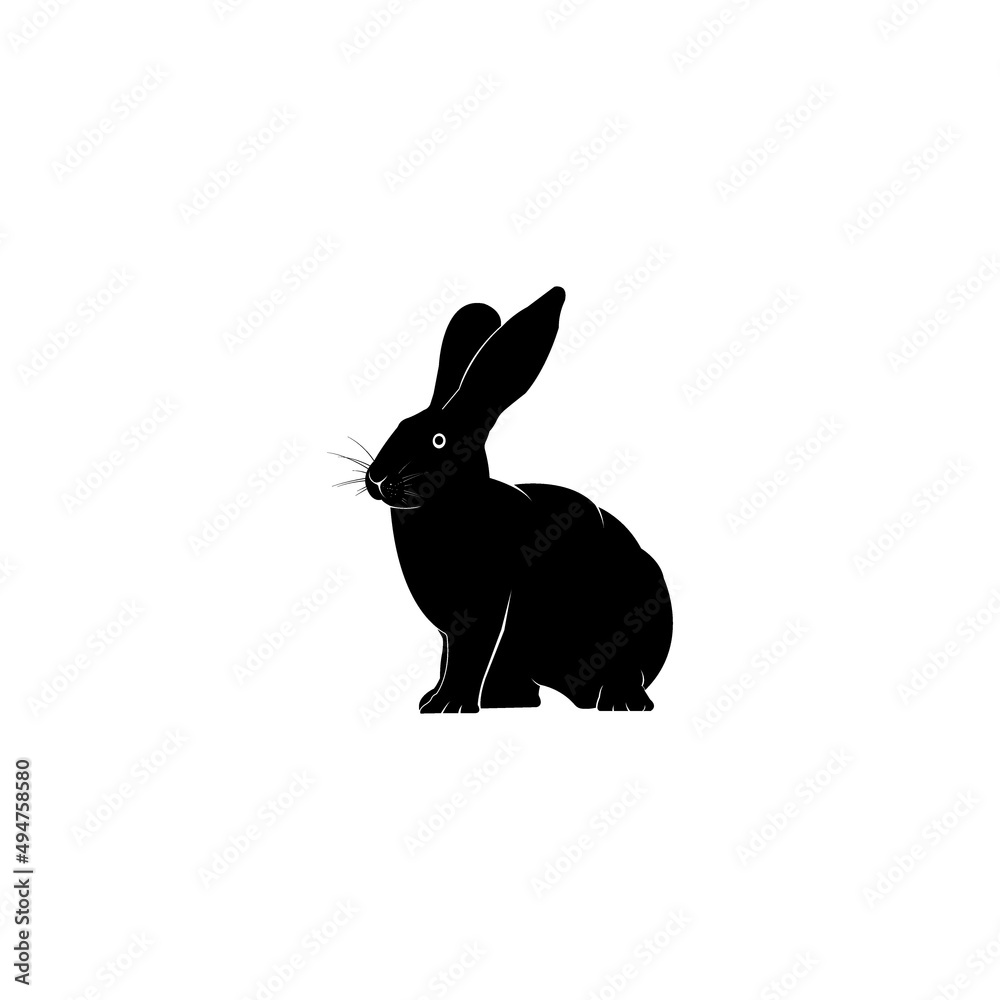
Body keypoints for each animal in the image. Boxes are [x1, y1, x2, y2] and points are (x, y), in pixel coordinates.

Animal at [350, 286, 671, 711]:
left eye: (439, 441)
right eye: (399, 426)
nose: (377, 479)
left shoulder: (482, 612)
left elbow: (468, 656)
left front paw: (447, 706)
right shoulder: (450, 631)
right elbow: (447, 658)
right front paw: (435, 700)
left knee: (629, 673)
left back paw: (619, 701)